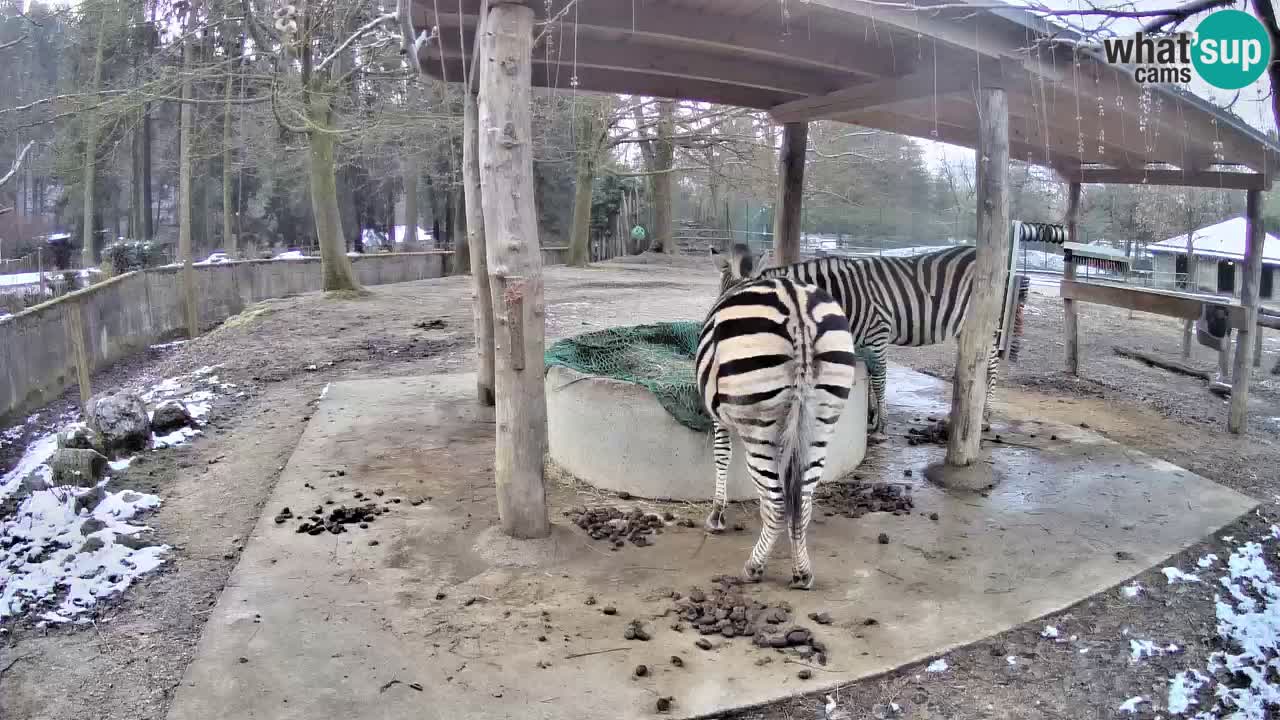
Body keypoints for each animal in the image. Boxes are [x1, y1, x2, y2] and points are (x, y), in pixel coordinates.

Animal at [696, 248, 855, 589]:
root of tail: (797, 309)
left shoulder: (720, 418)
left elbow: (721, 456)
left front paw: (716, 516)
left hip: (760, 426)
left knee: (779, 503)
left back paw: (754, 567)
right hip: (821, 421)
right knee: (802, 501)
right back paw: (802, 572)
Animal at [716, 243, 1024, 435]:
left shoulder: (878, 334)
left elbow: (879, 380)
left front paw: (880, 425)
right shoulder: (859, 340)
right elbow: (867, 379)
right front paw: (871, 414)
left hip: (988, 323)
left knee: (990, 367)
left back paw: (985, 417)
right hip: (964, 328)